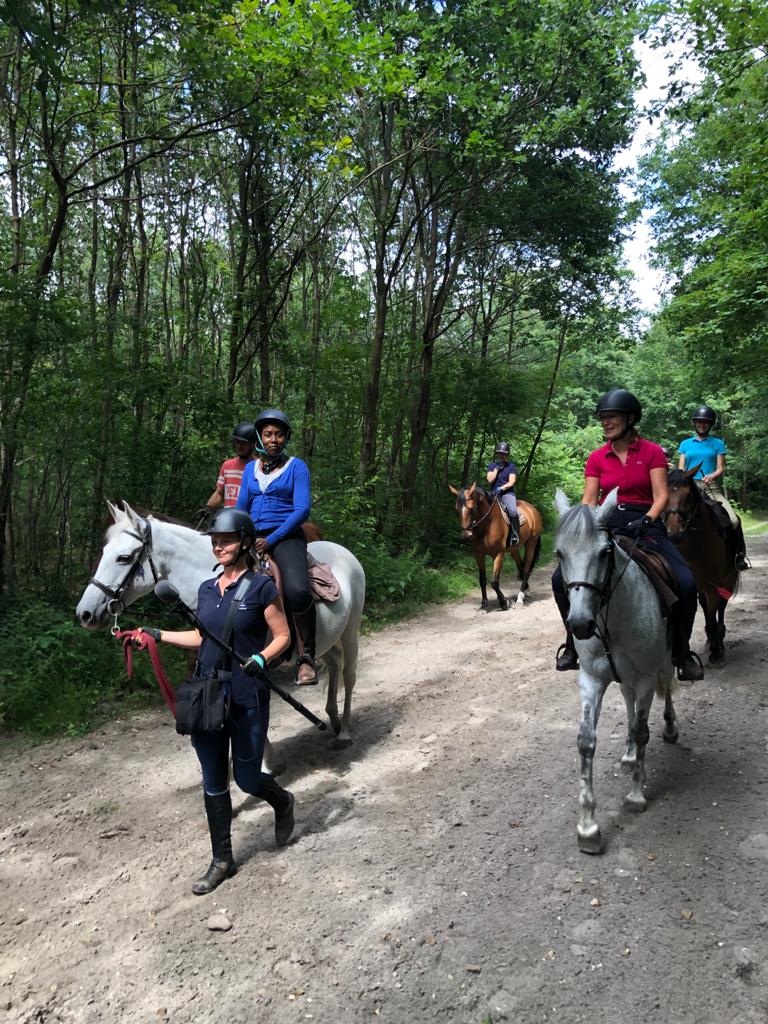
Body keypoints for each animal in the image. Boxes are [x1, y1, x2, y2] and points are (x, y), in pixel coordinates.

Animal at [75, 499, 366, 749]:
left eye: (123, 558)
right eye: (104, 552)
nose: (84, 613)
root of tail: (345, 552)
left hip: (350, 632)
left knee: (349, 675)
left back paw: (345, 731)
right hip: (326, 639)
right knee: (334, 664)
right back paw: (333, 718)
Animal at [552, 487, 679, 856]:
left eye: (604, 552)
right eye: (559, 553)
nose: (580, 625)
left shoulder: (647, 676)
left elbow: (643, 730)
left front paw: (636, 796)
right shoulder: (592, 678)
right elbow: (586, 741)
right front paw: (587, 826)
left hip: (663, 662)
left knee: (666, 689)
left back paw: (669, 728)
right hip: (624, 678)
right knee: (628, 701)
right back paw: (629, 754)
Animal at [663, 468, 741, 667]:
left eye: (689, 496)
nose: (674, 533)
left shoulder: (713, 586)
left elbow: (714, 615)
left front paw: (716, 652)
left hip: (727, 579)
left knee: (721, 606)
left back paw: (718, 639)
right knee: (705, 606)